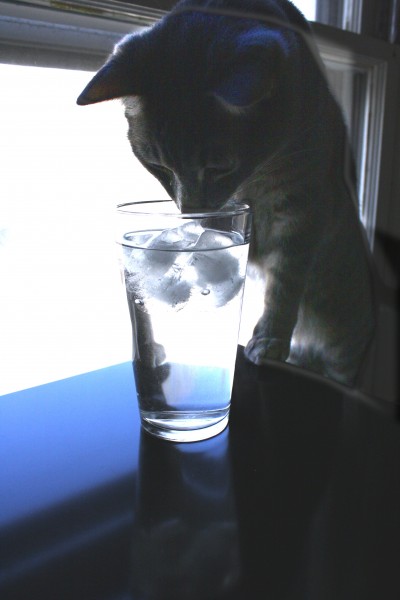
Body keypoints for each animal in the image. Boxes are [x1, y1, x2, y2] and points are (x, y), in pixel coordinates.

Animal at [77, 0, 376, 386]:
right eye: (159, 167)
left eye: (218, 168)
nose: (191, 211)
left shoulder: (303, 206)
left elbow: (284, 280)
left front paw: (269, 339)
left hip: (344, 346)